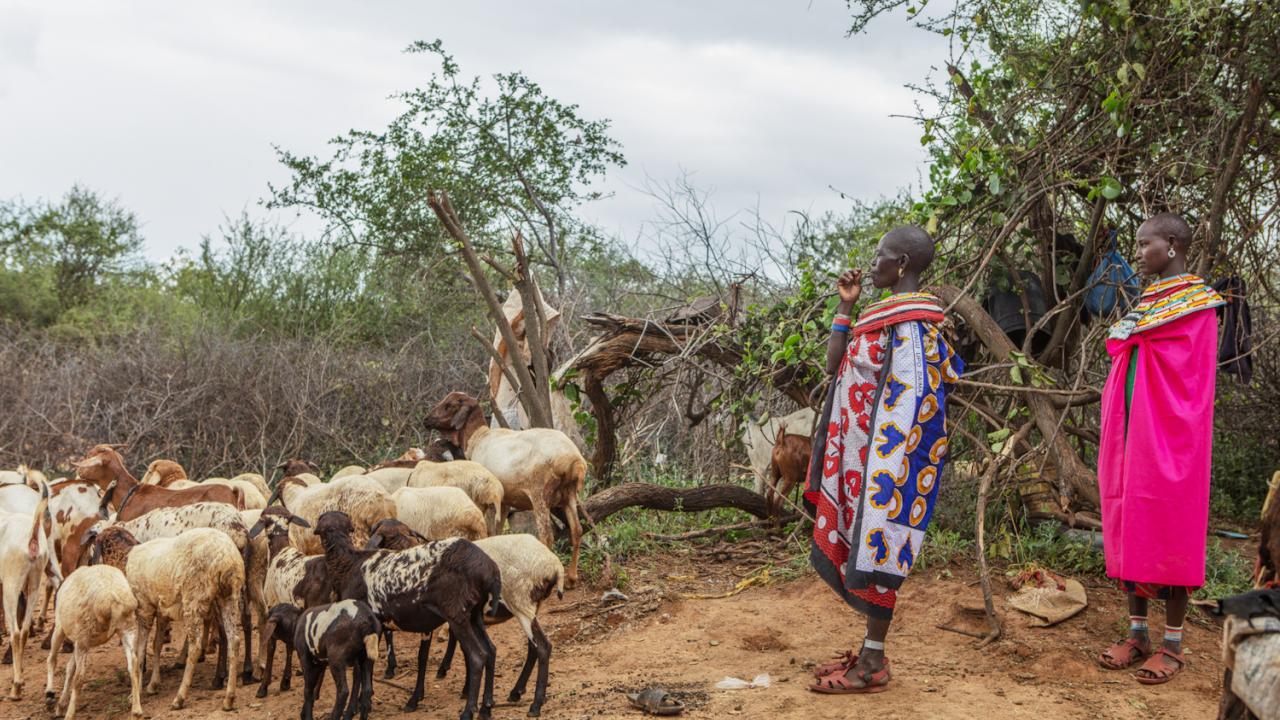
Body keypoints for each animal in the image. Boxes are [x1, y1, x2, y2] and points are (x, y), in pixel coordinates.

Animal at [43, 563, 142, 717]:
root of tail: (112, 598)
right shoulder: (80, 640)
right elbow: (72, 669)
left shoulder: (71, 634)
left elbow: (67, 669)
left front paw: (59, 704)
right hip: (126, 627)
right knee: (134, 664)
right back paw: (137, 708)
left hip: (82, 632)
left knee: (73, 673)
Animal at [126, 525, 244, 707]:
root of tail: (225, 556)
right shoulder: (162, 609)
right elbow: (156, 644)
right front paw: (153, 684)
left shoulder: (144, 608)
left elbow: (139, 651)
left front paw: (136, 692)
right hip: (229, 596)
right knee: (235, 640)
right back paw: (229, 698)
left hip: (193, 598)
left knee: (195, 646)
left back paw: (180, 697)